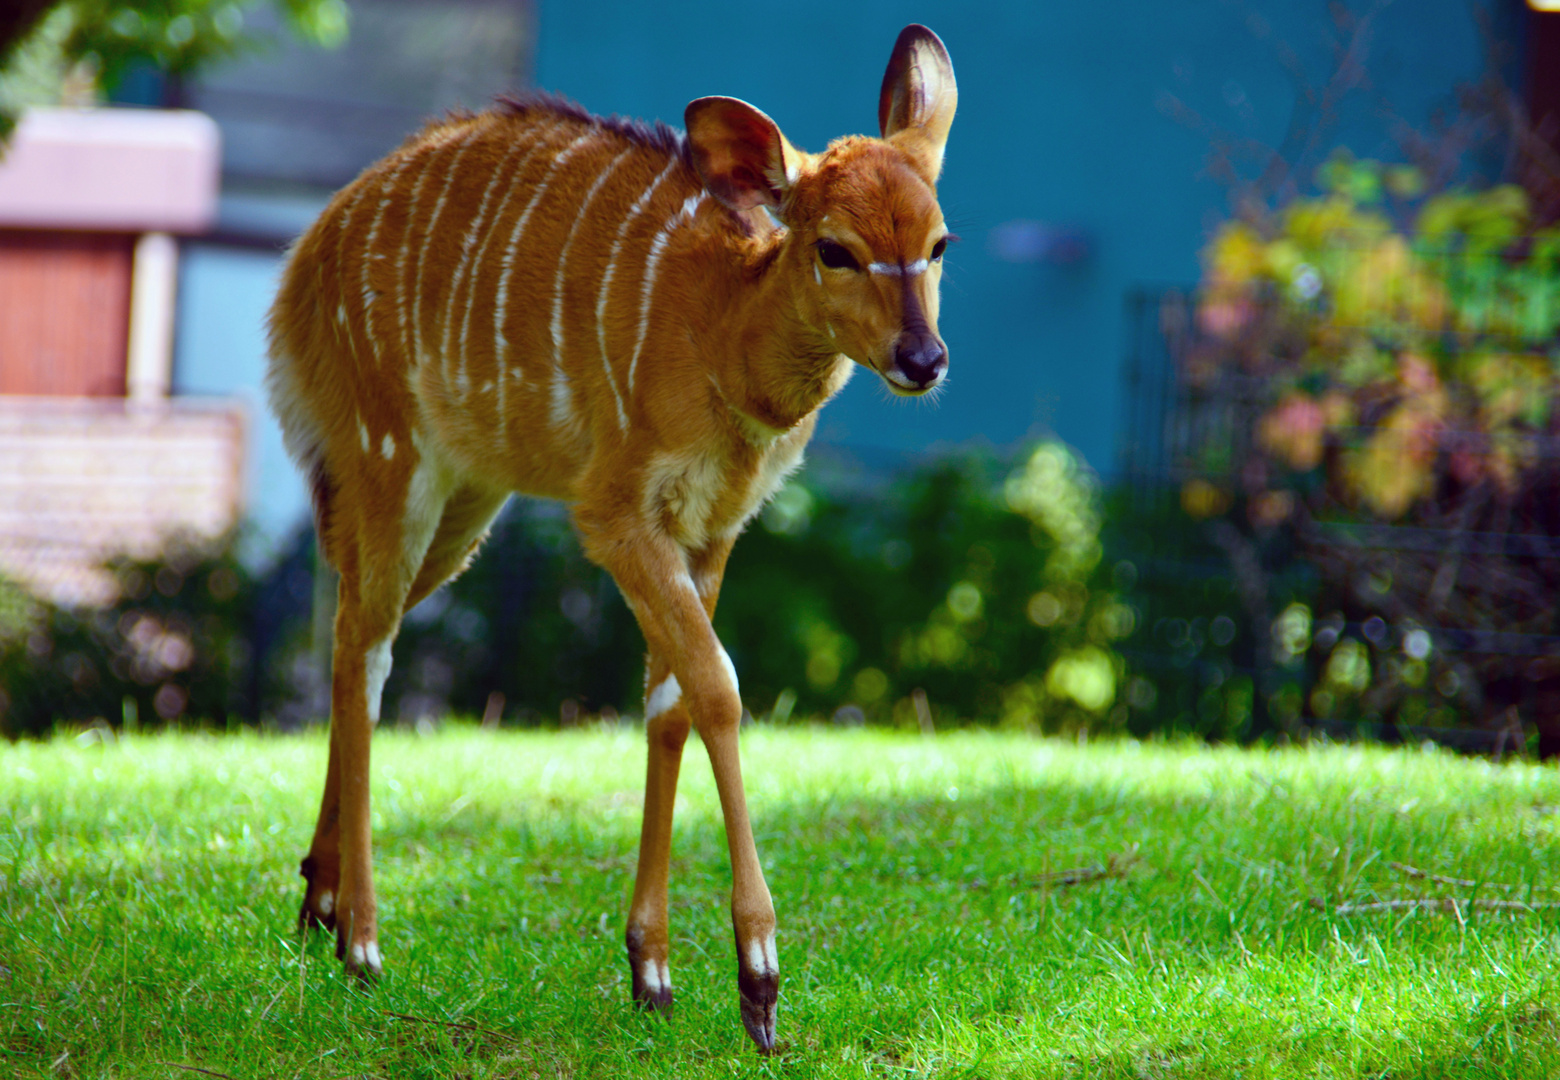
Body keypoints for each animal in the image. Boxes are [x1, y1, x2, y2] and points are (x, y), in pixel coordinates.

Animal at [263, 23, 954, 1055]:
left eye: (939, 242)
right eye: (835, 248)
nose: (924, 359)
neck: (719, 336)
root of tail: (304, 261)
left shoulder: (712, 530)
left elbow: (668, 706)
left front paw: (653, 974)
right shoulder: (616, 514)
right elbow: (718, 689)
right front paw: (759, 983)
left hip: (463, 509)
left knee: (355, 629)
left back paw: (319, 903)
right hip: (391, 461)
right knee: (365, 652)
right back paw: (364, 945)